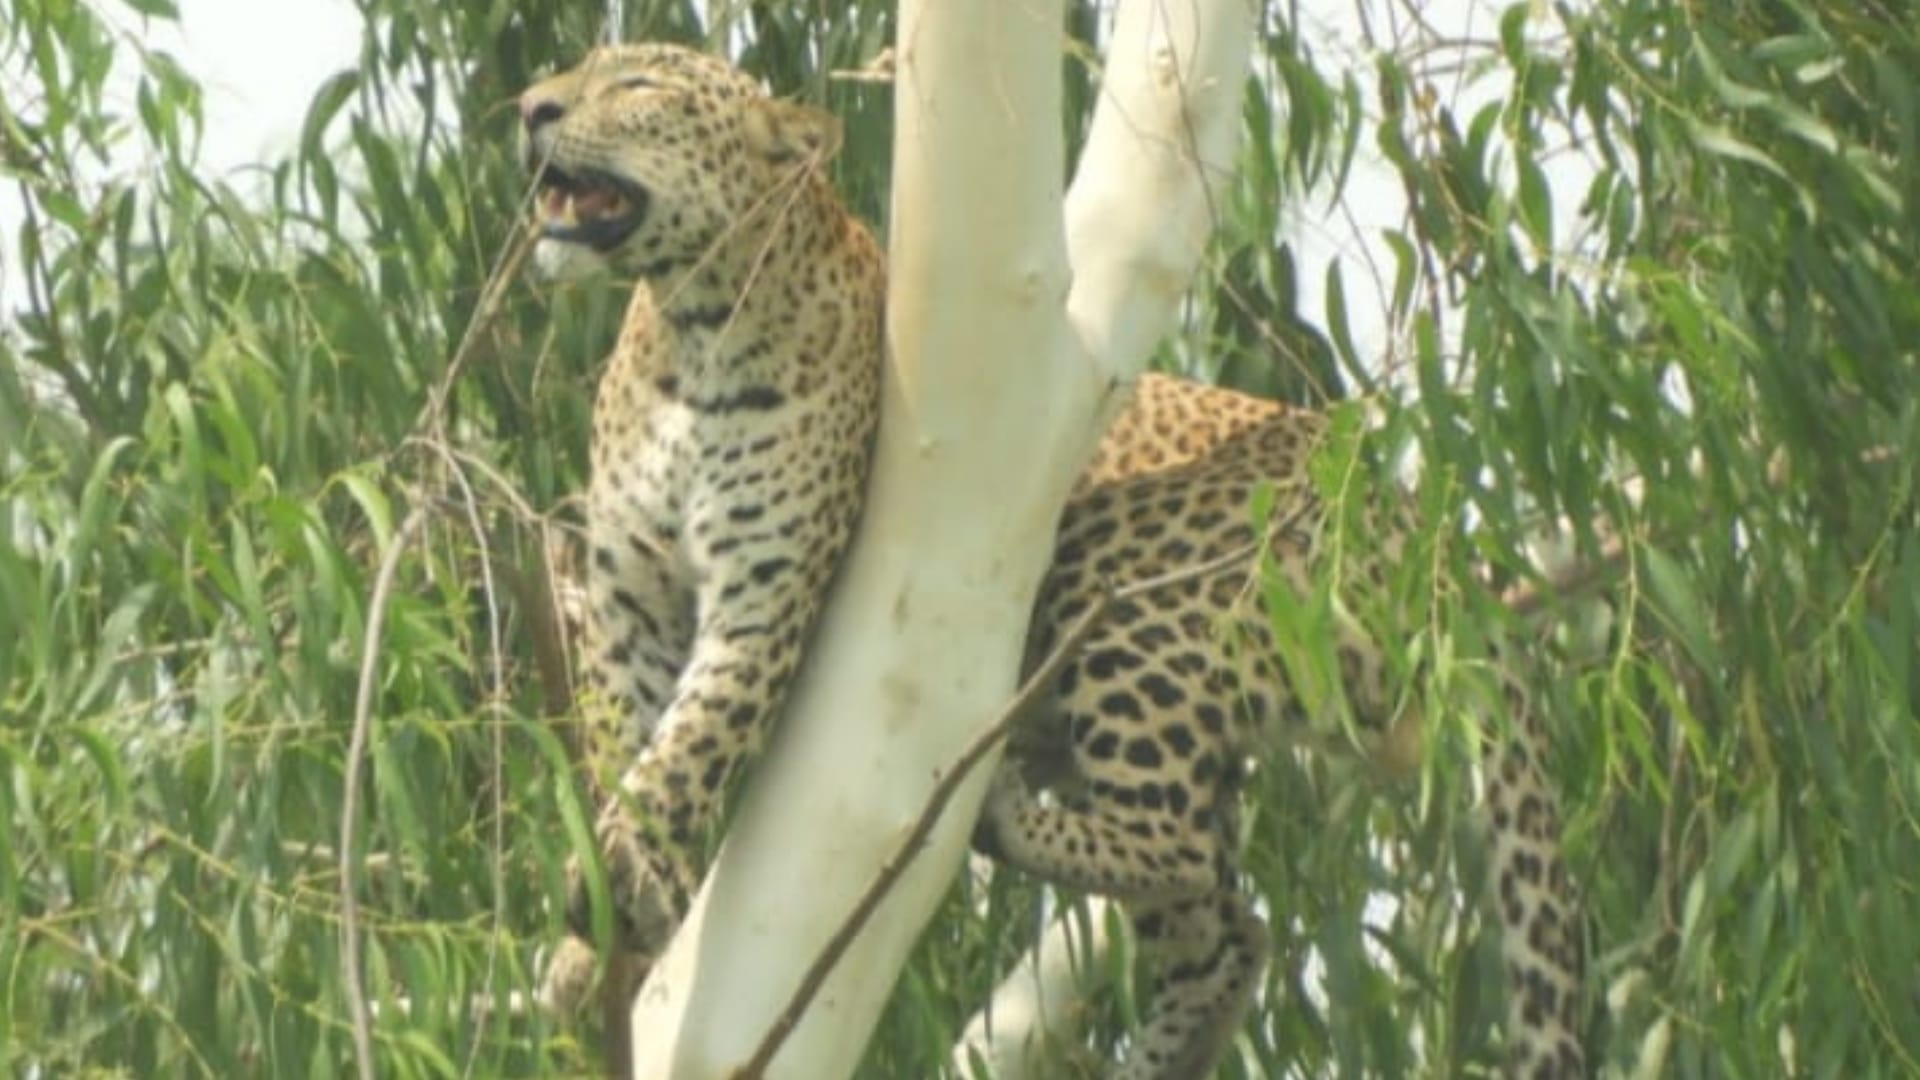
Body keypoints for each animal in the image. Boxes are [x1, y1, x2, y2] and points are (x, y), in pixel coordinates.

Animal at [515, 41, 1584, 1079]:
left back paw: (1001, 817)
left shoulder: (766, 593)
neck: (692, 331)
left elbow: (691, 742)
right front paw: (595, 936)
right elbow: (619, 746)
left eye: (637, 82)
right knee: (1232, 928)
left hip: (1127, 588)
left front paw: (627, 875)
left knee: (1182, 851)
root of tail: (1434, 545)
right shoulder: (628, 597)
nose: (531, 108)